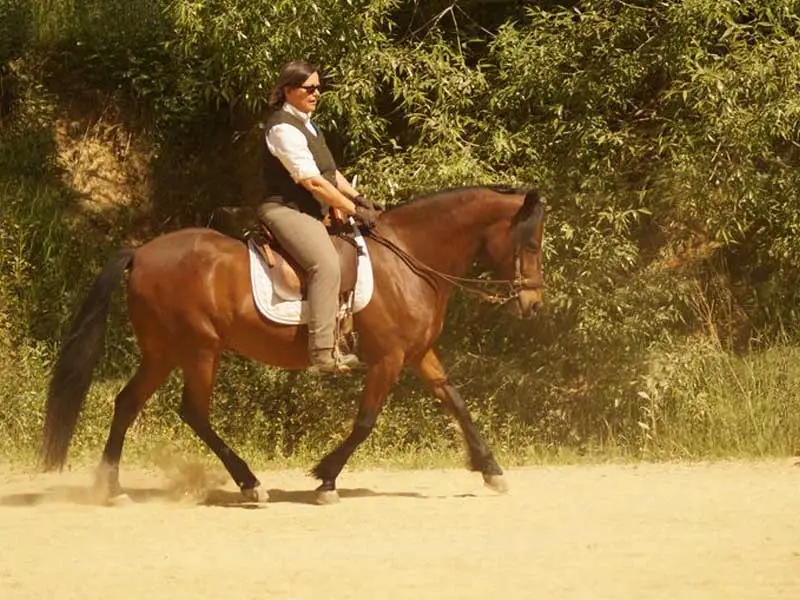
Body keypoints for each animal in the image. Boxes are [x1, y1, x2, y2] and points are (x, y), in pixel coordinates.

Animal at [41, 185, 545, 504]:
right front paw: (325, 480)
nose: (534, 304)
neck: (409, 259)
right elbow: (366, 421)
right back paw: (249, 485)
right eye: (532, 242)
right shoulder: (388, 359)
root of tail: (142, 253)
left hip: (162, 353)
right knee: (194, 413)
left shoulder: (418, 355)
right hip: (199, 350)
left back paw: (112, 488)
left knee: (126, 403)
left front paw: (492, 471)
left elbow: (456, 401)